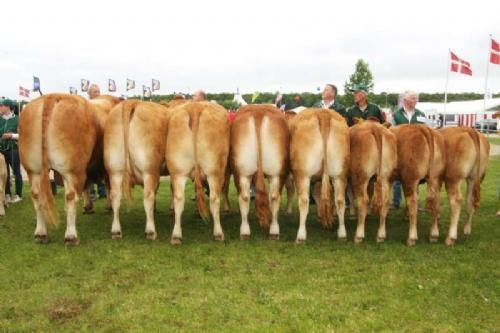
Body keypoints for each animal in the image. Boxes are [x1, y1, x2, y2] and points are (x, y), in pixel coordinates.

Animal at [19, 93, 122, 244]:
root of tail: (52, 96)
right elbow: (106, 187)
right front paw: (106, 206)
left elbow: (87, 186)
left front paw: (88, 206)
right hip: (72, 171)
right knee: (71, 196)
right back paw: (71, 236)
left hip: (33, 170)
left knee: (37, 195)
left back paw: (41, 233)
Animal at [103, 100, 172, 240]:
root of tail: (132, 102)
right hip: (149, 170)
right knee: (148, 196)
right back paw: (151, 231)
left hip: (114, 170)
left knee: (115, 196)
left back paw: (116, 231)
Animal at [168, 100, 230, 243]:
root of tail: (195, 107)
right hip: (215, 171)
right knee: (214, 199)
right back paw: (218, 233)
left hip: (177, 171)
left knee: (179, 198)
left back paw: (176, 236)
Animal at [230, 104, 290, 239]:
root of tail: (258, 111)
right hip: (276, 172)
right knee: (273, 196)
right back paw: (273, 231)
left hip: (241, 171)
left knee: (245, 196)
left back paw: (246, 232)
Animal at [292, 107, 350, 243]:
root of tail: (323, 113)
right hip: (339, 174)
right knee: (340, 200)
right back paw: (342, 234)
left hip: (303, 174)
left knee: (304, 201)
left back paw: (300, 236)